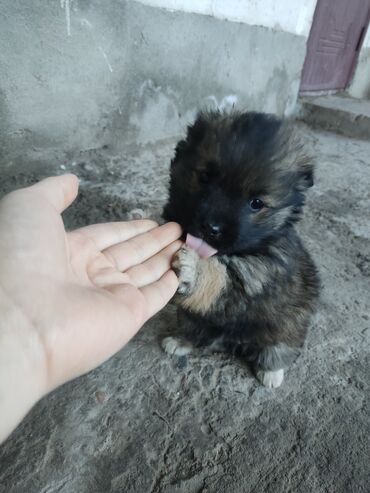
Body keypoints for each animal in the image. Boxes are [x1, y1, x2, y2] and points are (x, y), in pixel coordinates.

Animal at [163, 109, 320, 386]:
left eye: (256, 203)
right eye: (204, 178)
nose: (211, 228)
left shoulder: (256, 279)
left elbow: (217, 279)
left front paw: (194, 268)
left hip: (289, 324)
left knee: (279, 348)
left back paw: (271, 372)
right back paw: (181, 341)